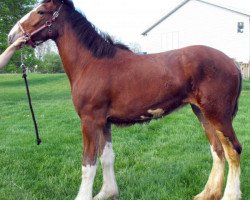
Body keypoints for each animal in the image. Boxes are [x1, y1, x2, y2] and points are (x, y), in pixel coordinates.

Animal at [7, 0, 242, 199]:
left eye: (41, 11)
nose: (11, 36)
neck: (91, 63)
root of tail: (232, 63)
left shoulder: (90, 121)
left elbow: (88, 163)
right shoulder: (104, 122)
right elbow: (106, 158)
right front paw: (108, 193)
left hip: (218, 115)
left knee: (233, 150)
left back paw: (229, 195)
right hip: (202, 113)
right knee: (218, 151)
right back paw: (207, 194)